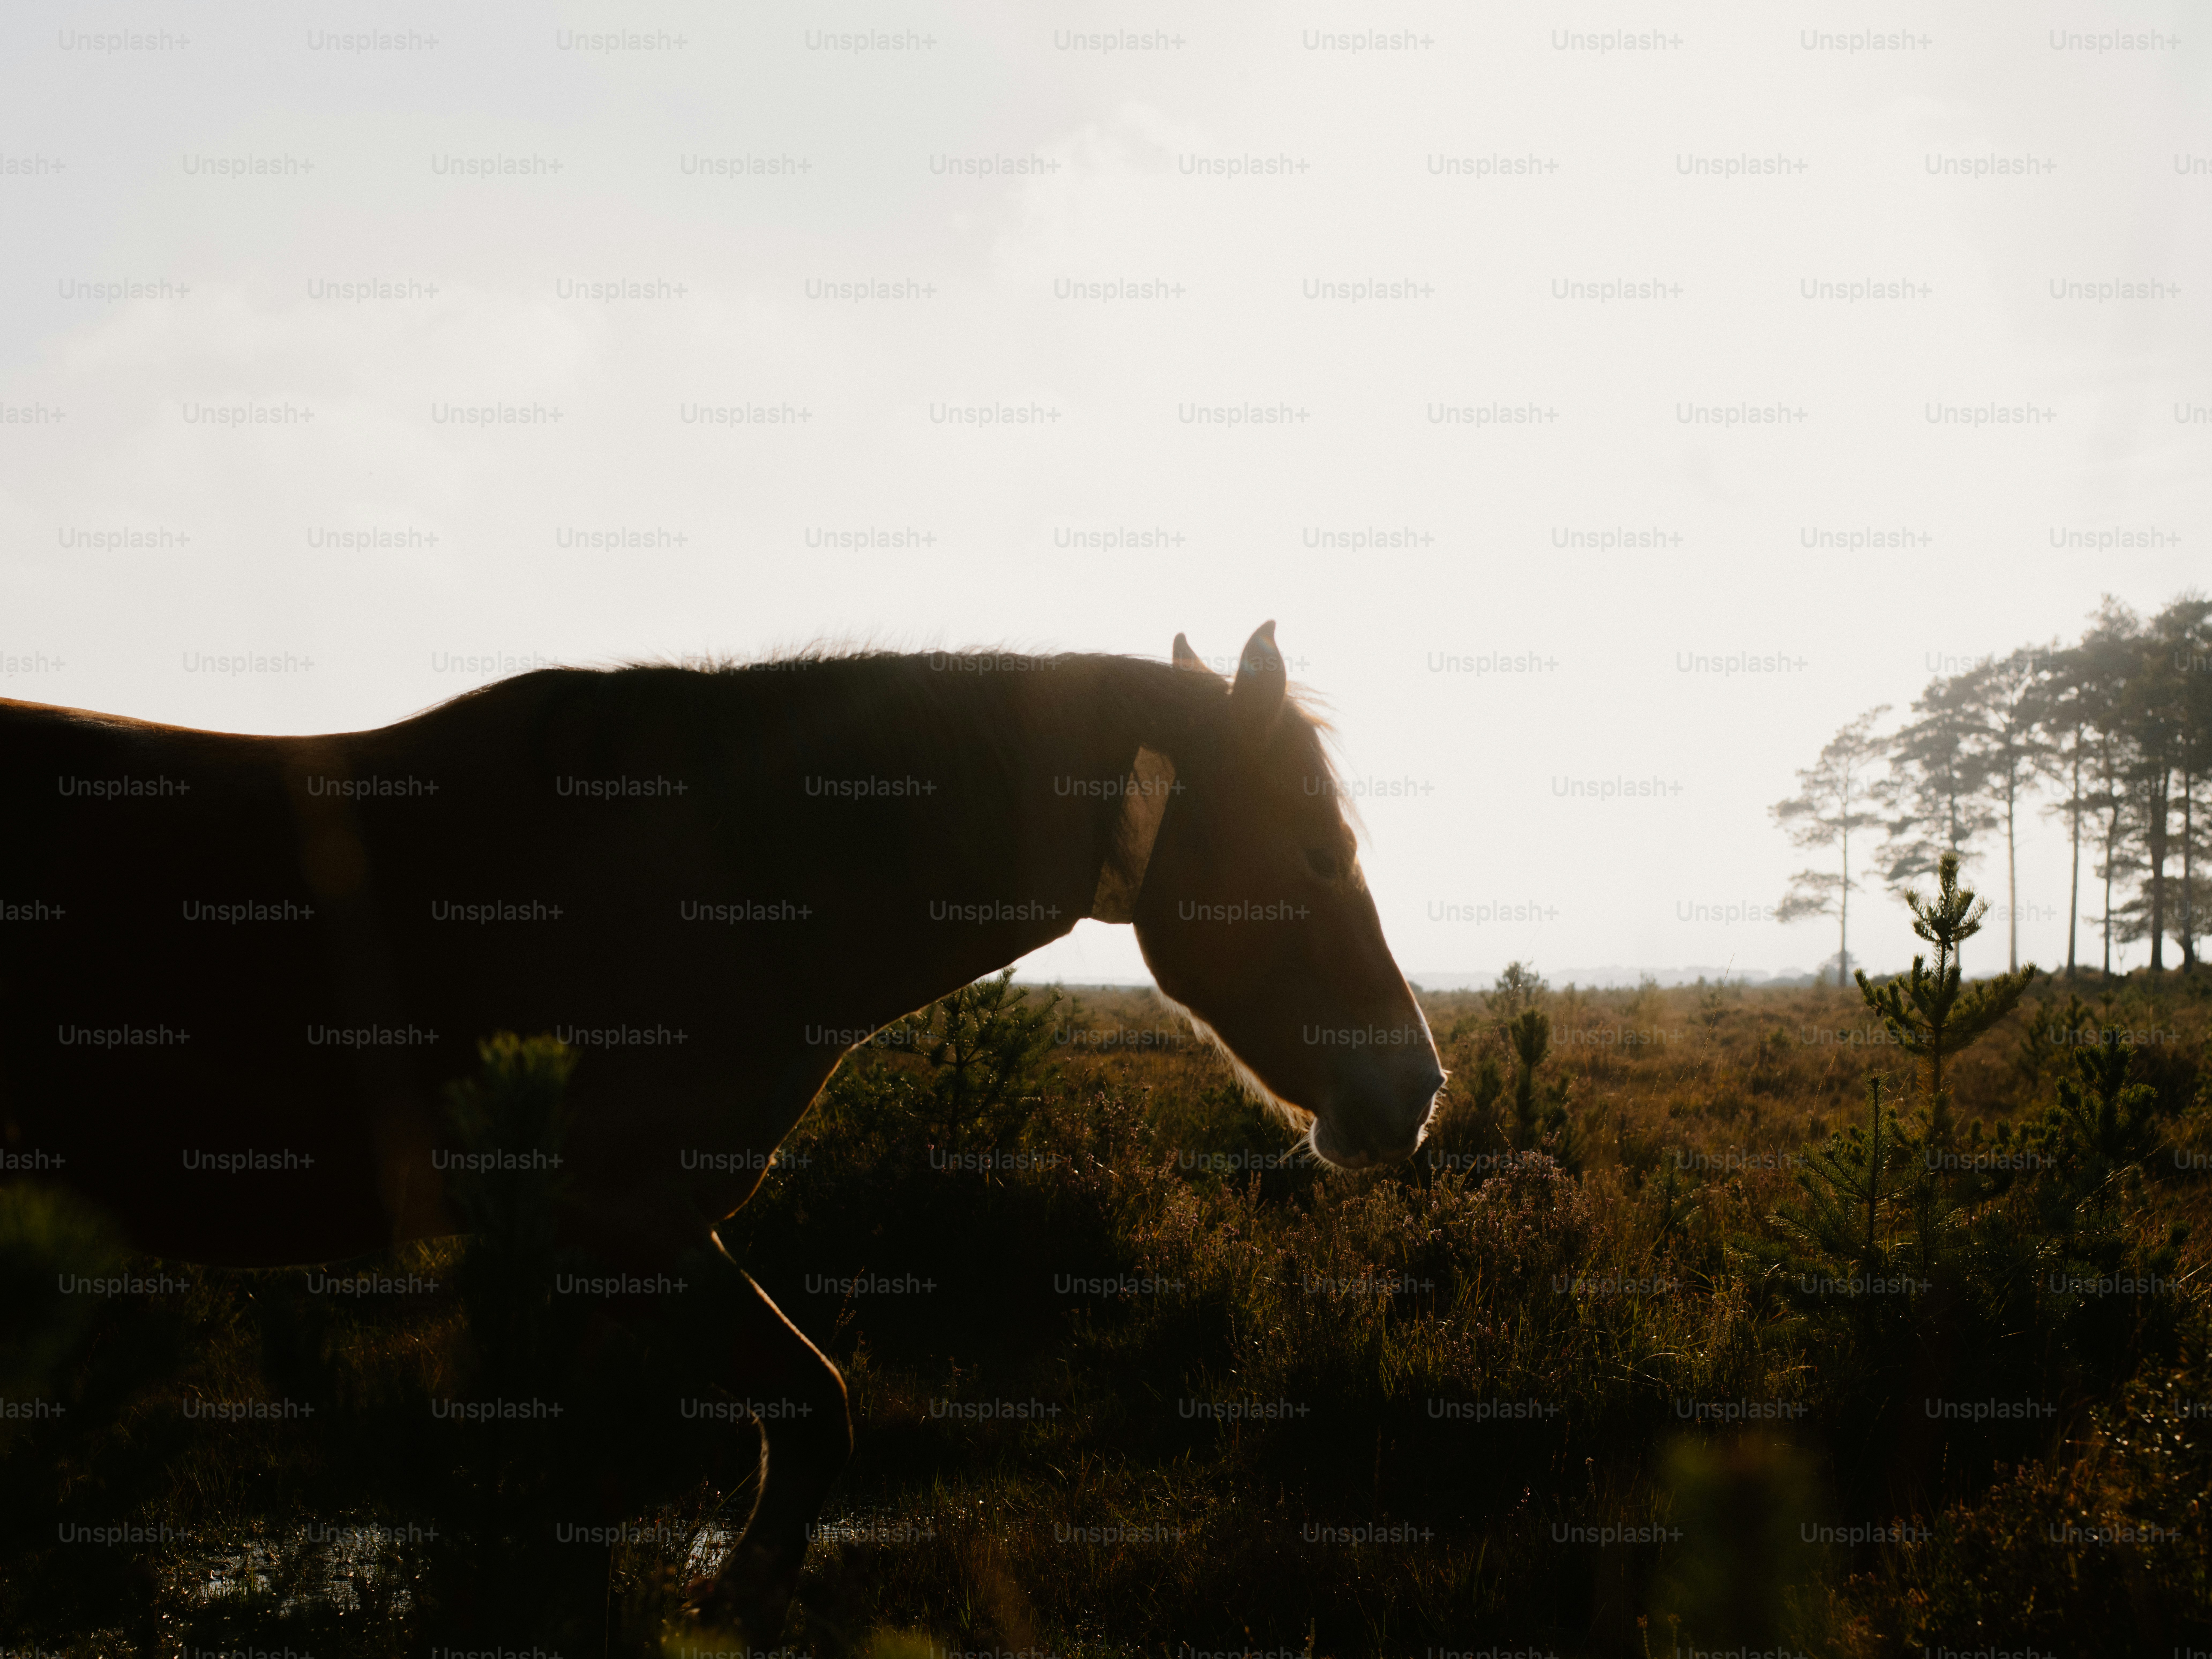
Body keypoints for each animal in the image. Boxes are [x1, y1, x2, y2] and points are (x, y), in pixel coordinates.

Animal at [0, 620, 1444, 1636]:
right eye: (1319, 852)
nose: (1416, 1089)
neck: (721, 870)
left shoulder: (598, 1254)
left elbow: (584, 1480)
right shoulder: (623, 1221)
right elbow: (808, 1409)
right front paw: (725, 1601)